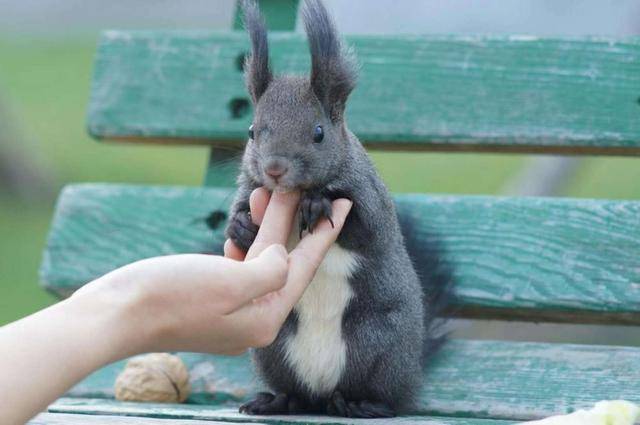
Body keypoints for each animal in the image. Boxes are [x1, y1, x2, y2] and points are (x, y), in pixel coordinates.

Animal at [225, 0, 450, 418]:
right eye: (251, 131)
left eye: (319, 133)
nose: (274, 168)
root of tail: (324, 394)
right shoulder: (250, 189)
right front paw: (241, 228)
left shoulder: (370, 198)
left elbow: (365, 229)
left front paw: (318, 204)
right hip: (271, 348)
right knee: (296, 392)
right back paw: (279, 400)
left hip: (380, 347)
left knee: (387, 396)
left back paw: (365, 403)